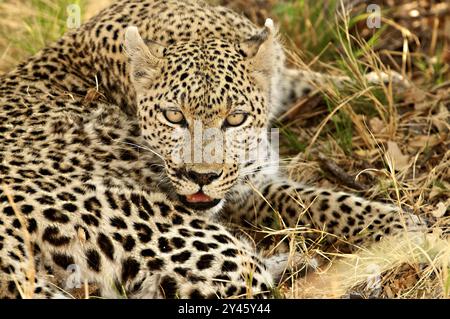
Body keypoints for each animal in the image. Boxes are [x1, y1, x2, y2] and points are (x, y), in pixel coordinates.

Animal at [0, 0, 424, 300]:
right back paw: (308, 265)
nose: (200, 177)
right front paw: (404, 227)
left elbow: (302, 87)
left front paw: (381, 83)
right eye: (173, 116)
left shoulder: (248, 174)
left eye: (235, 118)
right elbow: (324, 201)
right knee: (250, 281)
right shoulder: (243, 191)